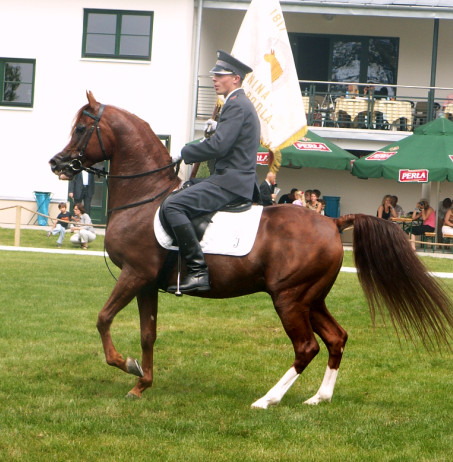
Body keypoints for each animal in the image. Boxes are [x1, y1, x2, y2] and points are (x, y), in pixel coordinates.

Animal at [49, 93, 452, 408]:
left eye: (82, 129)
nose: (58, 163)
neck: (144, 198)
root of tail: (333, 222)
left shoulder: (135, 274)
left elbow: (103, 318)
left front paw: (126, 364)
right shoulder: (148, 282)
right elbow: (148, 334)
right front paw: (141, 384)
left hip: (288, 299)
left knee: (307, 347)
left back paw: (268, 399)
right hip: (311, 299)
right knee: (336, 338)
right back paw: (319, 397)